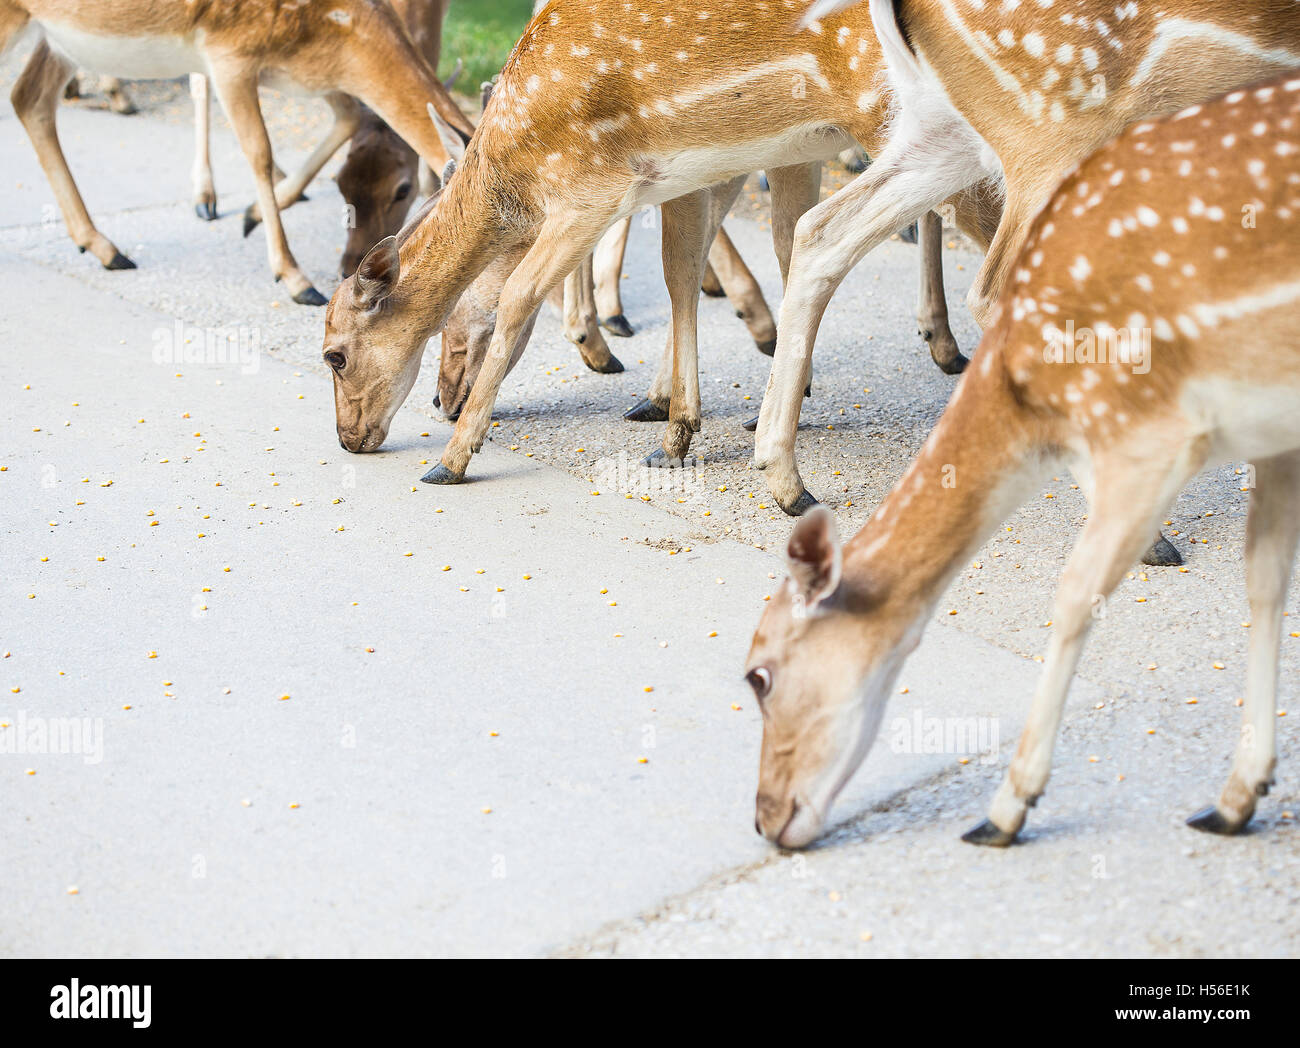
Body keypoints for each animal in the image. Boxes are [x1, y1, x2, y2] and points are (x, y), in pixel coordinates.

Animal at [0, 0, 475, 304]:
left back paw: (103, 246)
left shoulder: (306, 78)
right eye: (405, 190)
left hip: (59, 37)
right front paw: (295, 278)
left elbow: (348, 119)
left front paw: (251, 214)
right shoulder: (228, 53)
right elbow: (258, 151)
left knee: (29, 97)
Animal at [321, 0, 997, 472]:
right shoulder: (700, 166)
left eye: (335, 355)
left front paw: (454, 459)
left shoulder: (592, 191)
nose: (348, 439)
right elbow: (685, 273)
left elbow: (517, 297)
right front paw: (674, 418)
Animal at [748, 69, 1300, 850]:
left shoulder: (1155, 434)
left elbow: (1075, 596)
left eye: (758, 675)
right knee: (831, 228)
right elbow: (1267, 581)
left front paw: (1006, 809)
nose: (764, 817)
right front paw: (1237, 796)